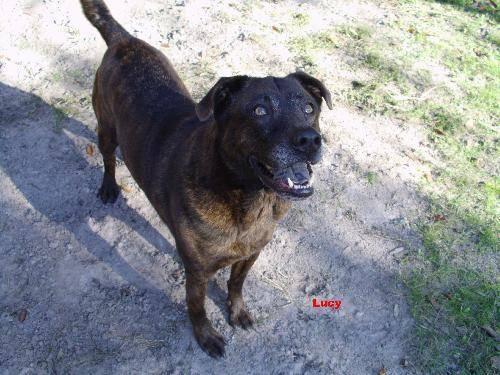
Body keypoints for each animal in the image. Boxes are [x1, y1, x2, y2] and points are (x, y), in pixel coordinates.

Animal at [81, 0, 332, 358]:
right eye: (259, 111)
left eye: (310, 108)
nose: (310, 140)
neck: (247, 200)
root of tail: (124, 41)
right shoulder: (197, 271)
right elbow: (196, 305)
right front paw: (206, 336)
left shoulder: (250, 254)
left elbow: (236, 284)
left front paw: (237, 311)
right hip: (106, 128)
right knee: (106, 157)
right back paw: (108, 186)